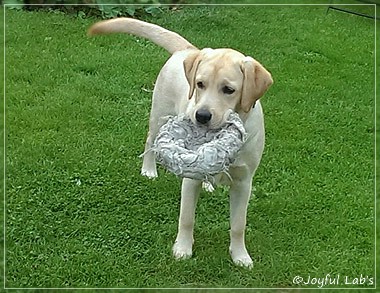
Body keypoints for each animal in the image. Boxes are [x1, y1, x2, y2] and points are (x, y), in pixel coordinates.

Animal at [88, 16, 274, 266]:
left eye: (229, 89)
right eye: (200, 84)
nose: (201, 116)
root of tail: (188, 50)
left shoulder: (244, 182)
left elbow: (238, 225)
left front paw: (241, 256)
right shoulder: (189, 179)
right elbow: (186, 218)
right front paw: (182, 249)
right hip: (159, 115)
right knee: (150, 142)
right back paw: (149, 170)